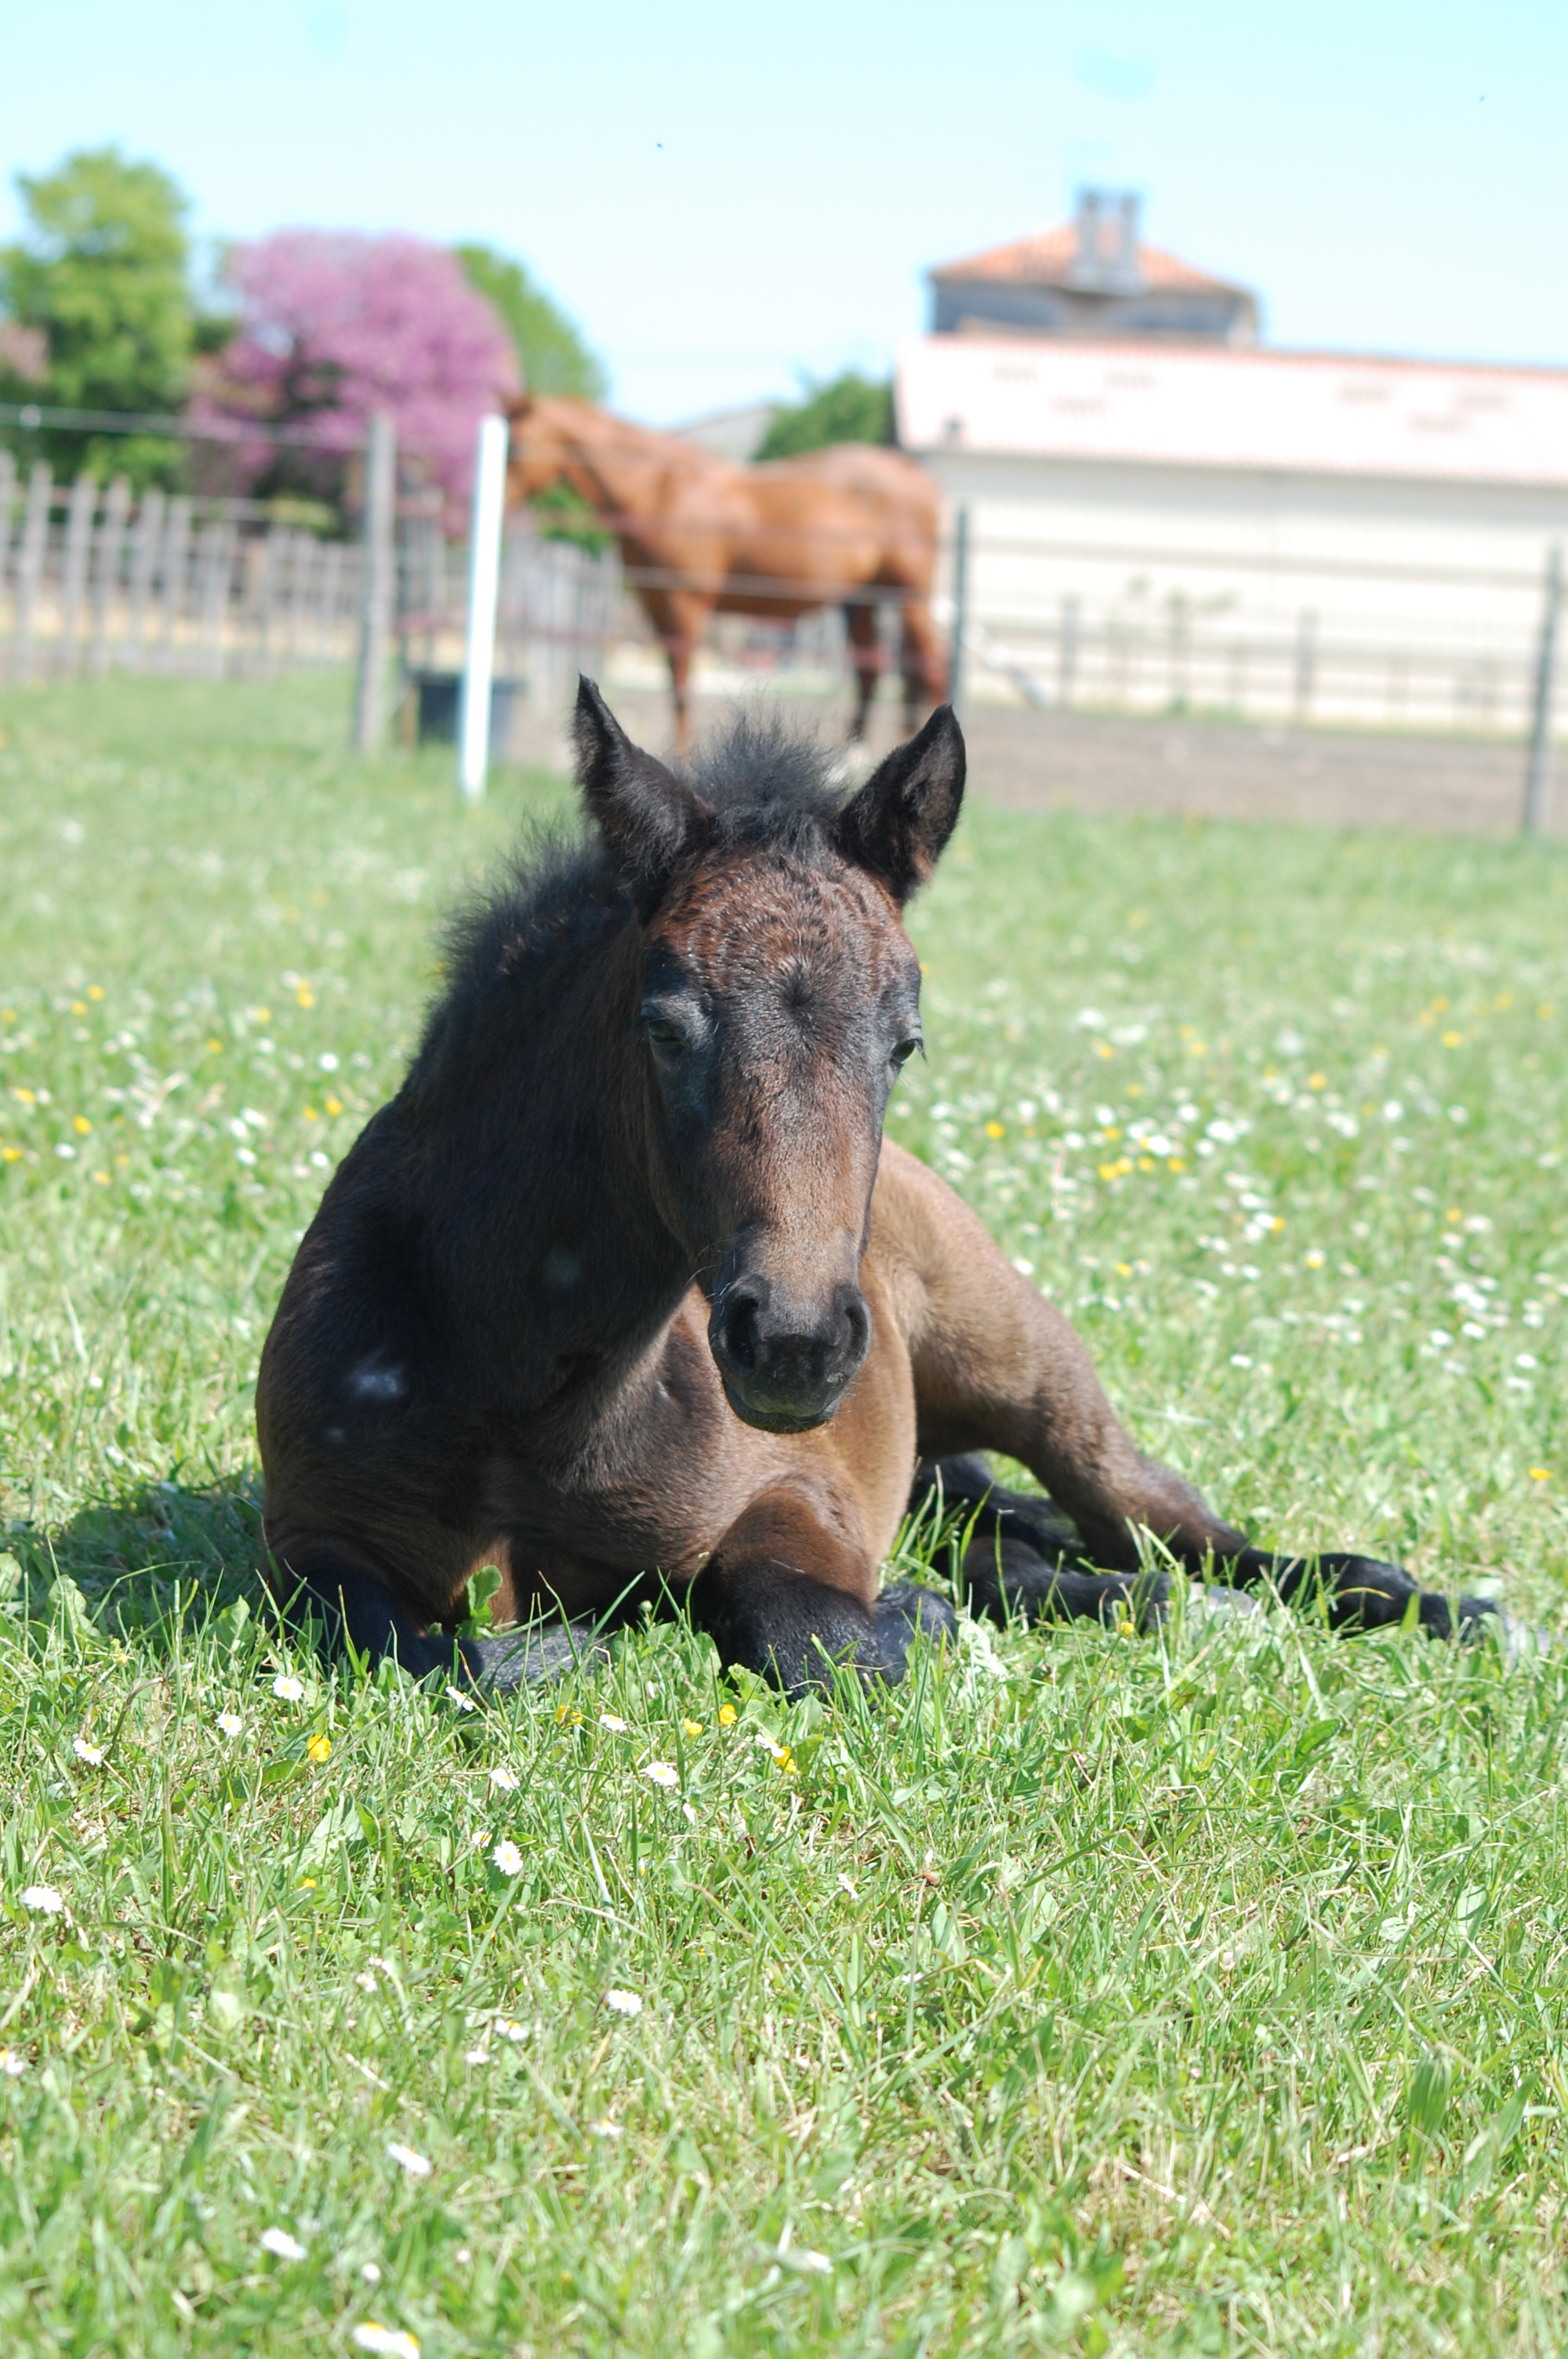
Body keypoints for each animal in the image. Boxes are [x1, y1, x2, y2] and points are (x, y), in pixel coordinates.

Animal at [253, 684, 1490, 1698]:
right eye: (666, 1025)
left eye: (905, 1042)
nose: (793, 1345)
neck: (532, 1396)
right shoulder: (316, 1544)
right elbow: (430, 1651)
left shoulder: (799, 1496)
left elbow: (811, 1631)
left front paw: (906, 1614)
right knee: (1019, 1538)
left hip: (1037, 1382)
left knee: (1168, 1526)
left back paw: (1424, 1605)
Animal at [504, 396, 943, 745]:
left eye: (519, 444)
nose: (503, 504)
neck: (662, 490)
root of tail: (914, 475)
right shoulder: (656, 603)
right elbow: (673, 682)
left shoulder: (683, 605)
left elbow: (682, 685)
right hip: (862, 599)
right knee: (871, 671)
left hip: (910, 598)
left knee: (929, 668)